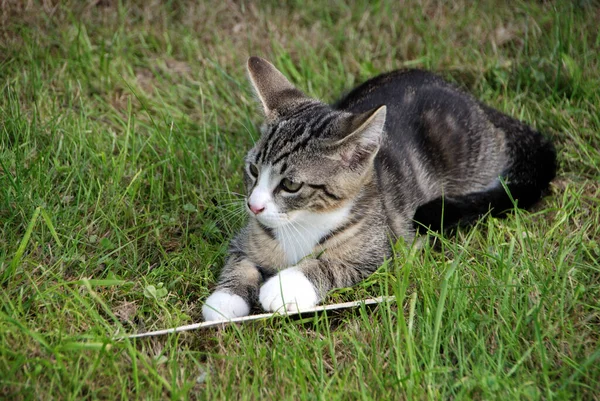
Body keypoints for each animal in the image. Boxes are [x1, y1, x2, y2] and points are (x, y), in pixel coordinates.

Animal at [203, 56, 556, 320]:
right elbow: (240, 261)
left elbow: (333, 264)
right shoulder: (248, 236)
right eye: (253, 170)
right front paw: (225, 300)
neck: (302, 223)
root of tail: (476, 102)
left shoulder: (385, 247)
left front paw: (286, 285)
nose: (254, 205)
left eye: (290, 184)